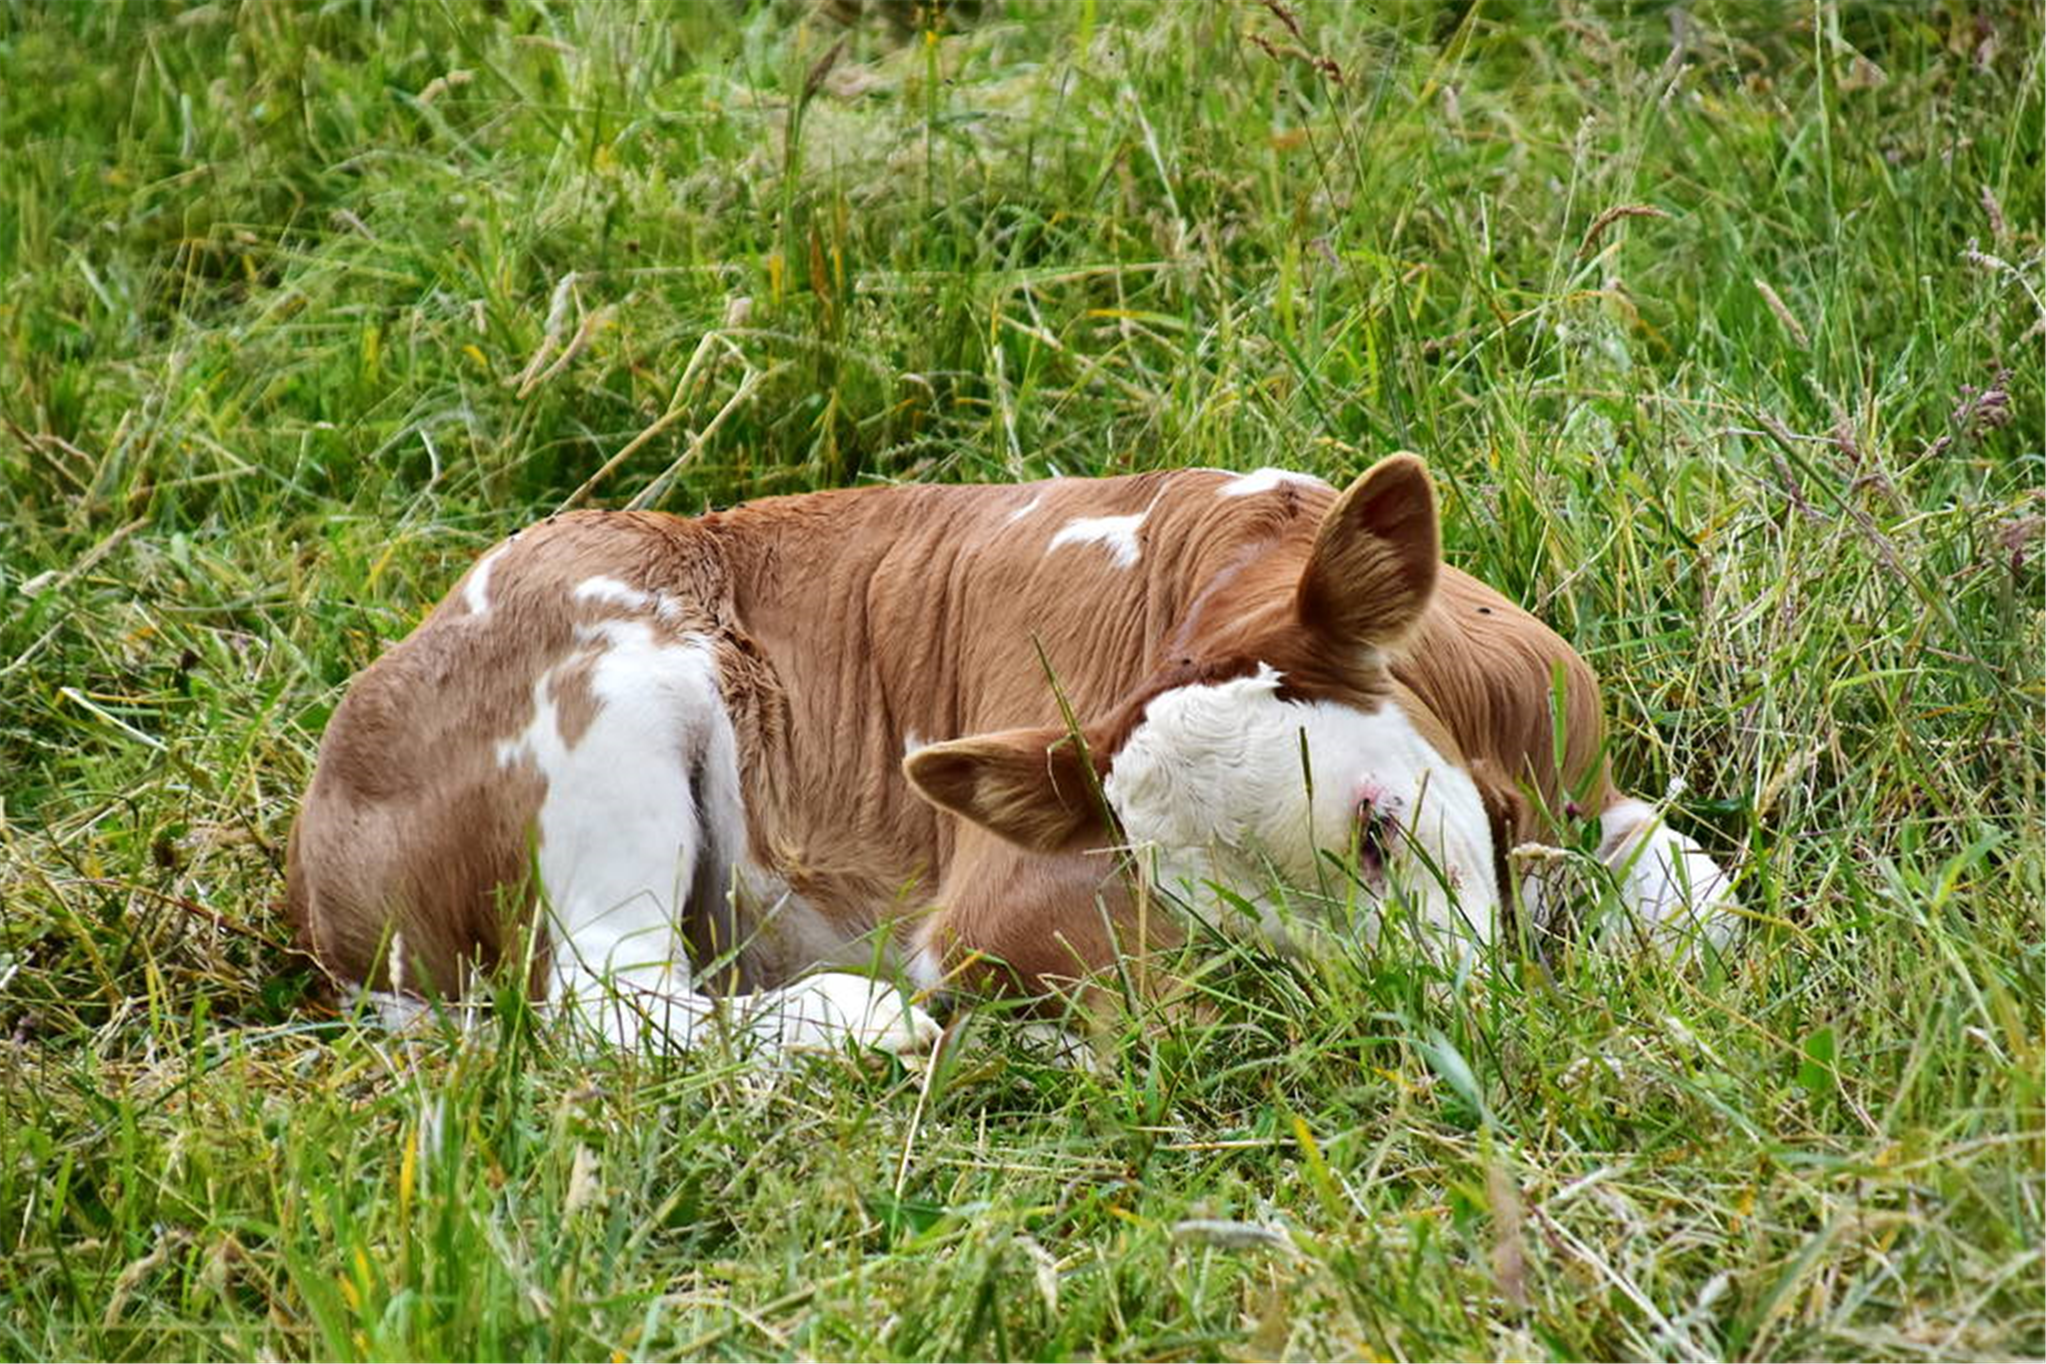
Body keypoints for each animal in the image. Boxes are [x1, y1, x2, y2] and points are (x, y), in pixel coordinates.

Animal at [284, 458, 1726, 1055]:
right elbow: (1164, 1015)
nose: (1397, 1024)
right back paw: (860, 1027)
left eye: (1376, 827)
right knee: (612, 1009)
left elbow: (1692, 889)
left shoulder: (1572, 763)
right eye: (1214, 916)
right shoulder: (991, 906)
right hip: (605, 713)